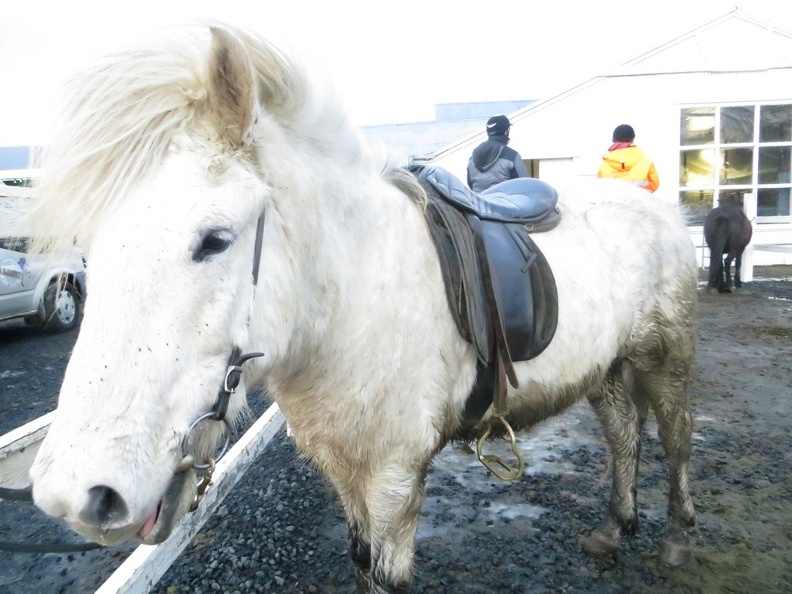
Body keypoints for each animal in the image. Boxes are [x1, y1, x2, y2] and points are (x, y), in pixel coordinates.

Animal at [29, 24, 700, 592]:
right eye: (87, 251)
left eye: (214, 239)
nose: (79, 495)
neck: (350, 303)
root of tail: (660, 209)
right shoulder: (344, 466)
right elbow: (358, 561)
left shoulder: (394, 477)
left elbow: (384, 573)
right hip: (607, 369)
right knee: (623, 434)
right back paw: (615, 527)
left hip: (665, 361)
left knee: (674, 440)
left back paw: (675, 536)